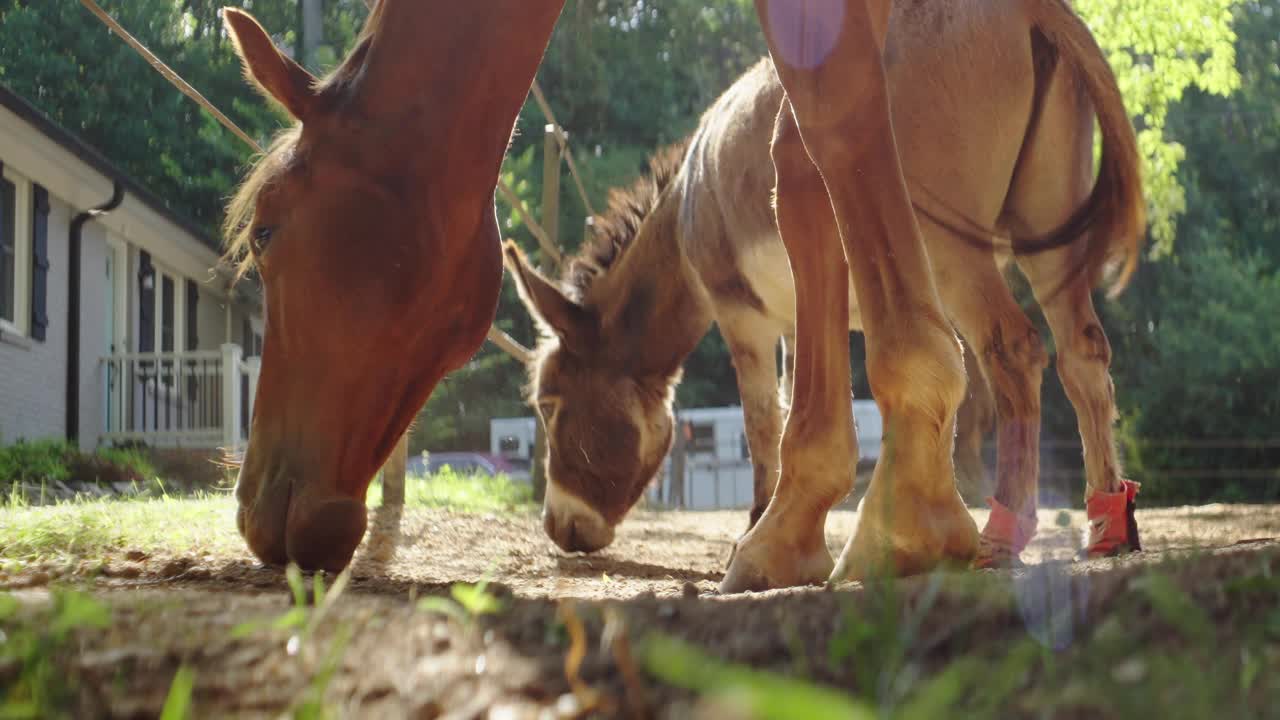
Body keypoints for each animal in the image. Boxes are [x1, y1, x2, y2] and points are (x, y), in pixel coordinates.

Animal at [504, 0, 1146, 571]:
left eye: (549, 403)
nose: (558, 529)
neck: (687, 199)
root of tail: (1027, 9)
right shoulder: (796, 321)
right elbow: (794, 401)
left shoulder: (739, 313)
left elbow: (761, 418)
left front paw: (757, 525)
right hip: (1048, 232)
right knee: (1082, 353)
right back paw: (1104, 526)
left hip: (951, 250)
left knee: (1013, 349)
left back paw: (1000, 533)